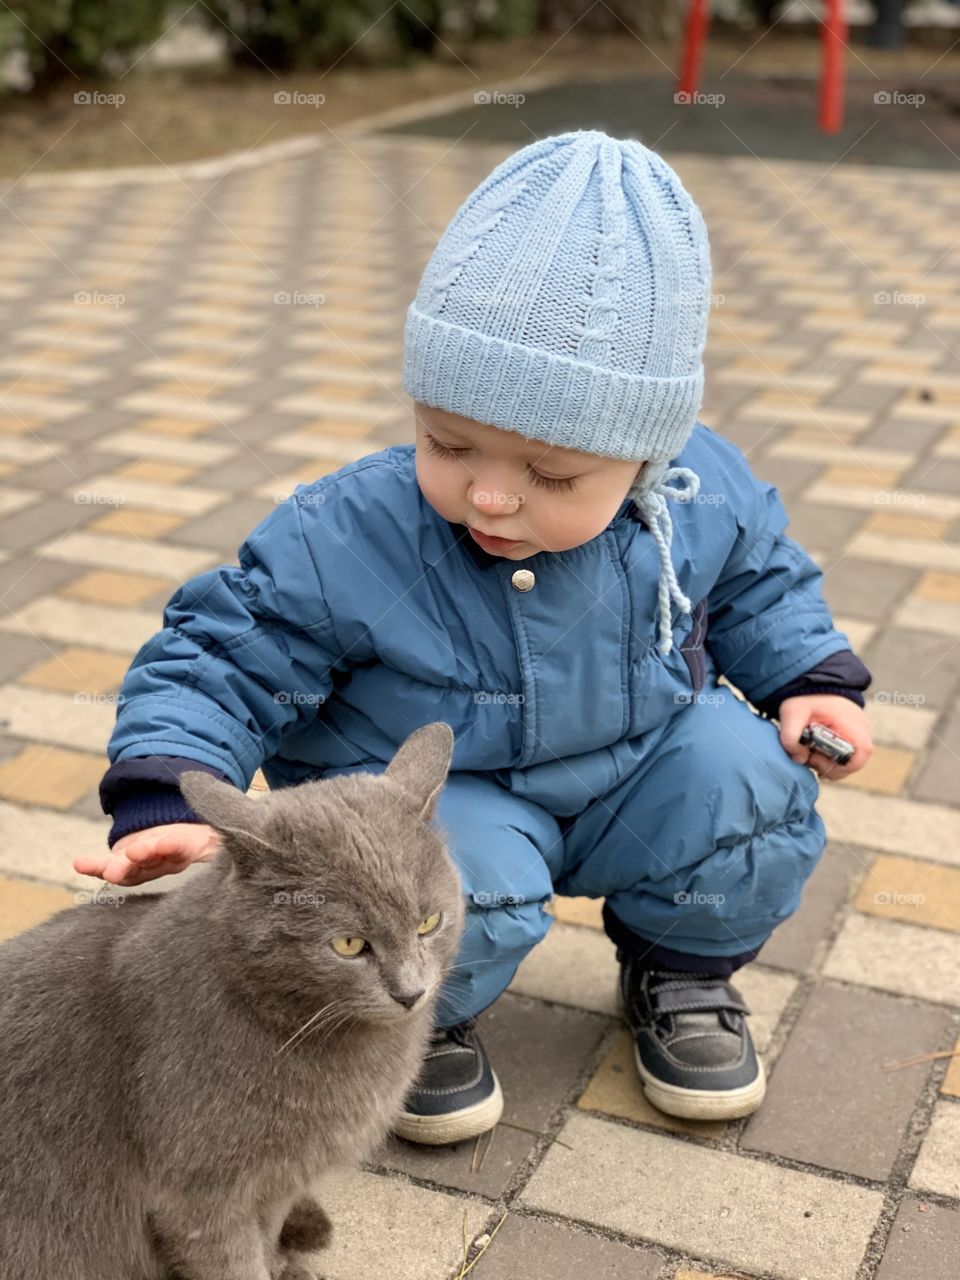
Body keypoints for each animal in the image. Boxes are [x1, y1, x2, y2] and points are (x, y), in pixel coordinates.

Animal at [0, 727, 465, 1274]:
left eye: (429, 923)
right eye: (350, 945)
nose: (410, 992)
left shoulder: (278, 1180)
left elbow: (265, 1238)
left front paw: (282, 1265)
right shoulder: (200, 1197)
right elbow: (236, 1264)